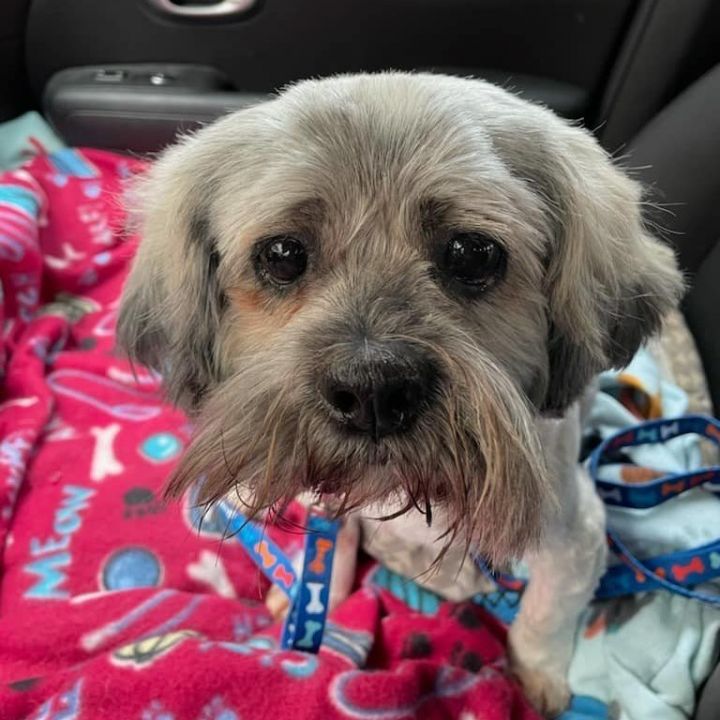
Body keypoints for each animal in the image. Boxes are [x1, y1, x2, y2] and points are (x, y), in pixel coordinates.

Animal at [115, 71, 684, 716]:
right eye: (281, 254)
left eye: (473, 253)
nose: (373, 389)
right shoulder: (328, 502)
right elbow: (331, 550)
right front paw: (315, 596)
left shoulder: (577, 538)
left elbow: (543, 614)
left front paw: (536, 675)